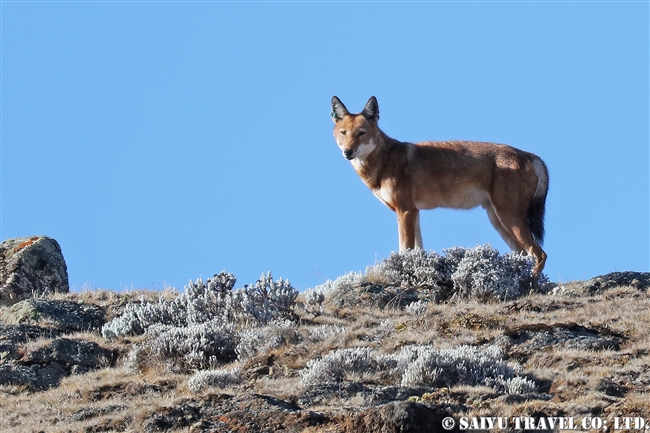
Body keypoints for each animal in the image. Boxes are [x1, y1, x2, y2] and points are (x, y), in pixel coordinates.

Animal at [330, 96, 548, 276]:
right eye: (344, 133)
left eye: (361, 133)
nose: (348, 152)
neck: (384, 161)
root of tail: (533, 156)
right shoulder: (414, 212)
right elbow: (417, 251)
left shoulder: (405, 211)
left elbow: (404, 250)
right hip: (498, 221)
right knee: (525, 256)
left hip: (509, 219)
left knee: (539, 254)